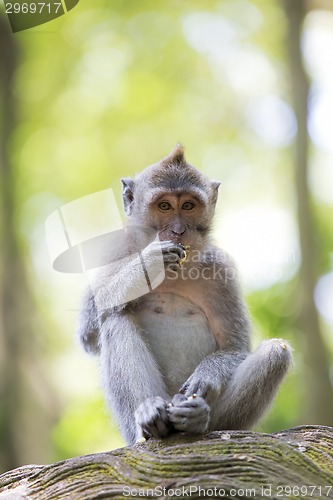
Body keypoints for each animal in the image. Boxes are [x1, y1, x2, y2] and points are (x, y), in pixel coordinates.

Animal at [76, 146, 292, 446]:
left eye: (188, 206)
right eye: (164, 206)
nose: (178, 231)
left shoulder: (221, 270)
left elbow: (235, 347)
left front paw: (206, 376)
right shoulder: (115, 250)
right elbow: (89, 332)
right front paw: (150, 262)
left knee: (277, 352)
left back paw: (197, 418)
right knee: (115, 318)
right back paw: (149, 419)